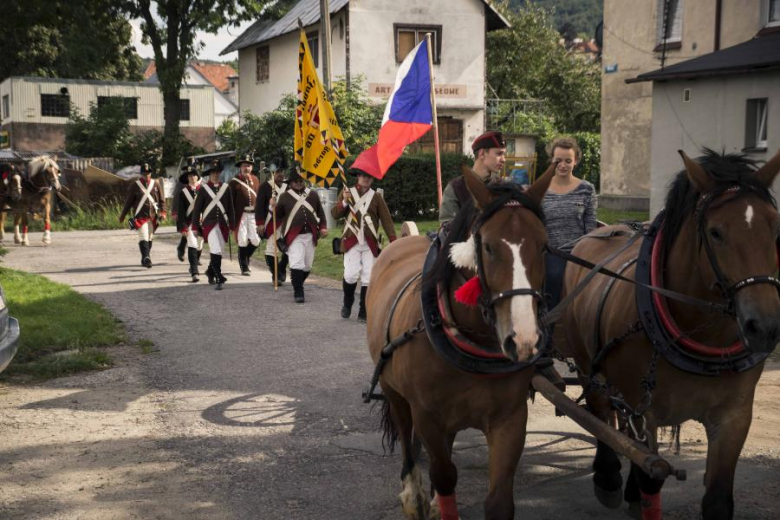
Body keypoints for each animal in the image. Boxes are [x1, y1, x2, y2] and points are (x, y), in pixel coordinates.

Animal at [366, 166, 556, 520]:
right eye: (489, 247)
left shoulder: (510, 419)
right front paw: (427, 497)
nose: (524, 339)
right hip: (392, 390)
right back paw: (414, 494)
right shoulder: (427, 415)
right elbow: (444, 476)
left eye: (543, 246)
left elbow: (498, 502)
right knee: (406, 436)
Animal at [560, 148, 780, 516]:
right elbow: (650, 476)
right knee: (600, 414)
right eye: (716, 233)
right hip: (588, 363)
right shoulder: (643, 411)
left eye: (775, 226)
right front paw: (630, 487)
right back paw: (608, 477)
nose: (764, 326)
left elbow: (717, 498)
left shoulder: (734, 417)